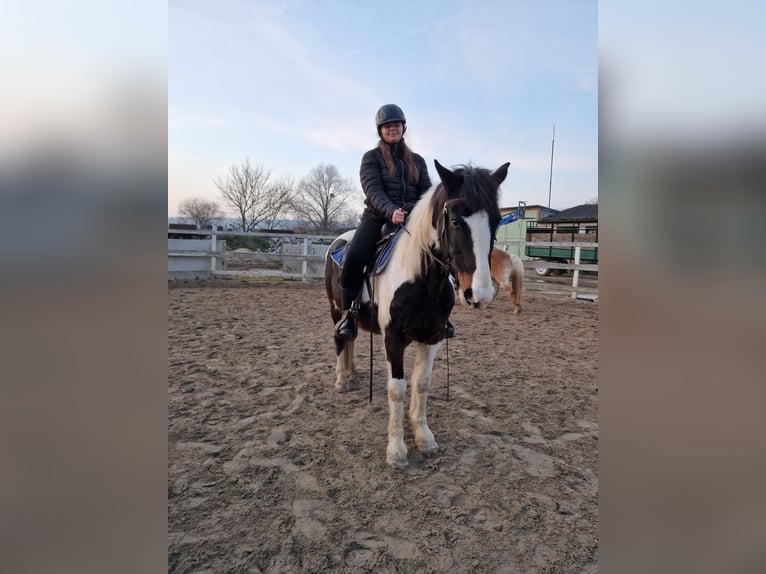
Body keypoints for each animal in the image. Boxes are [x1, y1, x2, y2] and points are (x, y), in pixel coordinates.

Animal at [324, 161, 510, 468]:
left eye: (495, 220)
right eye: (456, 221)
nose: (480, 295)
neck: (419, 280)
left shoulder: (433, 337)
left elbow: (422, 383)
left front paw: (424, 437)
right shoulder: (393, 340)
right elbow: (397, 389)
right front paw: (397, 450)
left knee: (350, 340)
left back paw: (353, 373)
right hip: (335, 309)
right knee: (340, 339)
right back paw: (341, 381)